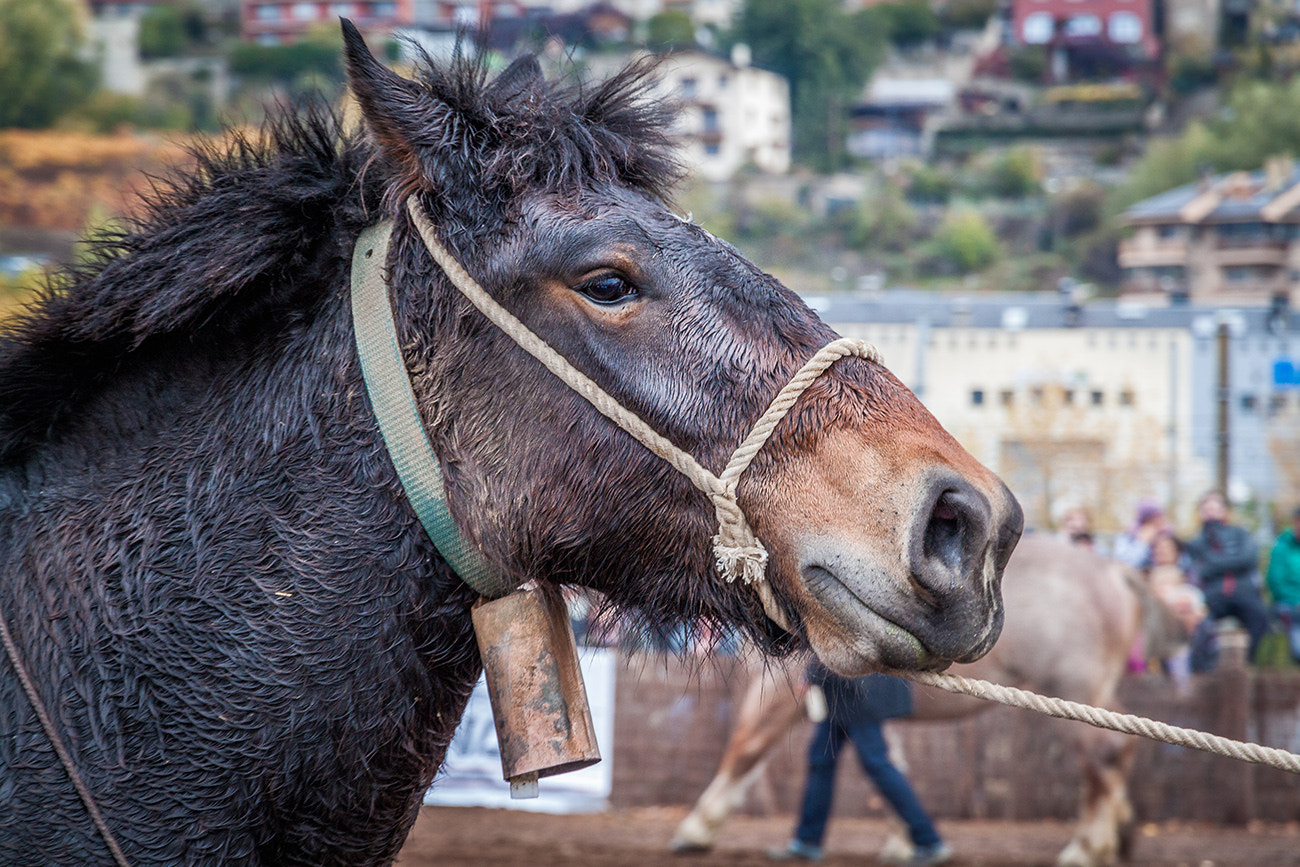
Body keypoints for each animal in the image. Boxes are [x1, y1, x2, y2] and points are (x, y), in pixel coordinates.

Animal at [672, 535, 1183, 867]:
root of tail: (1111, 570)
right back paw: (1117, 836)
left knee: (1102, 759)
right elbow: (888, 767)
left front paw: (697, 828)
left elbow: (744, 750)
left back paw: (1087, 848)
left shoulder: (783, 694)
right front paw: (907, 841)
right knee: (1119, 754)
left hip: (1073, 696)